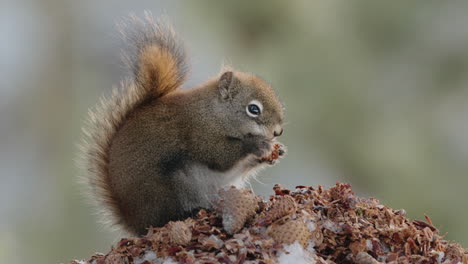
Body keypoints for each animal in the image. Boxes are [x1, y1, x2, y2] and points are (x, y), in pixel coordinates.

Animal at [79, 12, 286, 235]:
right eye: (253, 109)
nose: (278, 132)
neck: (213, 113)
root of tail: (136, 223)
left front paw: (277, 151)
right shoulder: (199, 135)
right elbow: (219, 156)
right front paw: (256, 144)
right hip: (167, 189)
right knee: (167, 215)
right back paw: (189, 213)